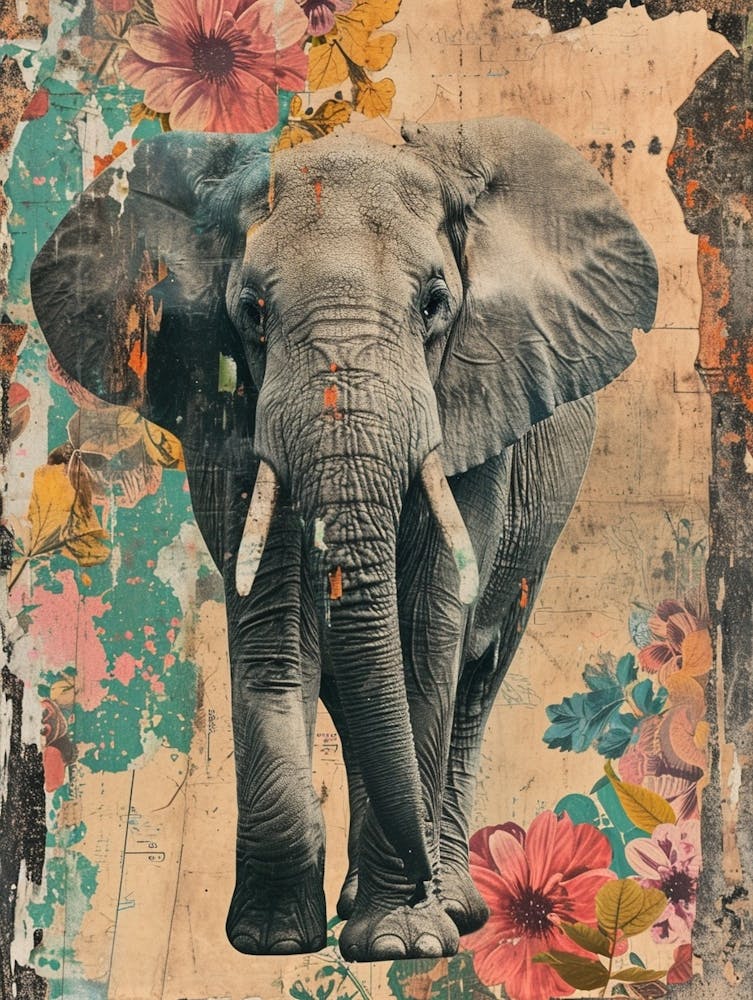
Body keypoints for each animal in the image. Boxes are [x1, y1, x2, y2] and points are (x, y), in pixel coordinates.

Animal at [30, 116, 657, 962]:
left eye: (435, 304)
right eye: (252, 310)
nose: (425, 891)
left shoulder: (473, 401)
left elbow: (426, 629)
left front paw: (400, 943)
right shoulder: (220, 405)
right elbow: (273, 622)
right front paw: (271, 940)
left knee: (476, 674)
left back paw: (447, 904)